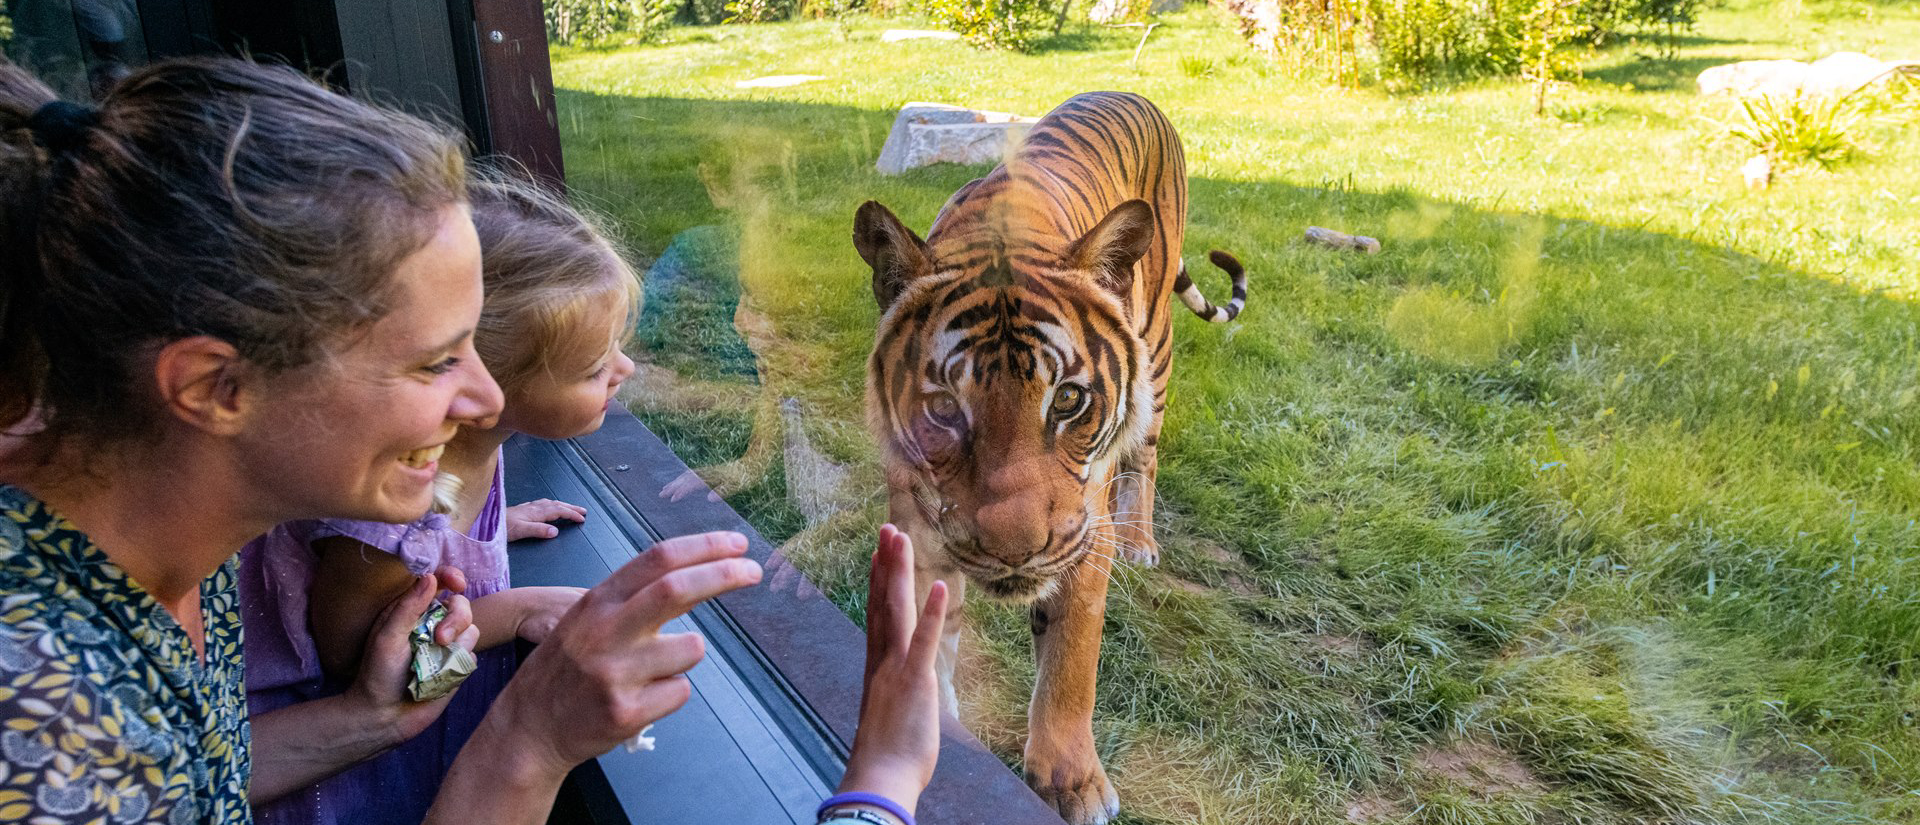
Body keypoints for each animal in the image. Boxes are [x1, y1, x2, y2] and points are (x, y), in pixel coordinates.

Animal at [852, 91, 1244, 825]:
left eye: (1066, 400)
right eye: (944, 406)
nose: (1014, 550)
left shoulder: (1082, 532)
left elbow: (1071, 656)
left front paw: (1072, 781)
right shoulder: (918, 521)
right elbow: (925, 626)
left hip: (1156, 357)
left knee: (1145, 459)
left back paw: (1141, 540)